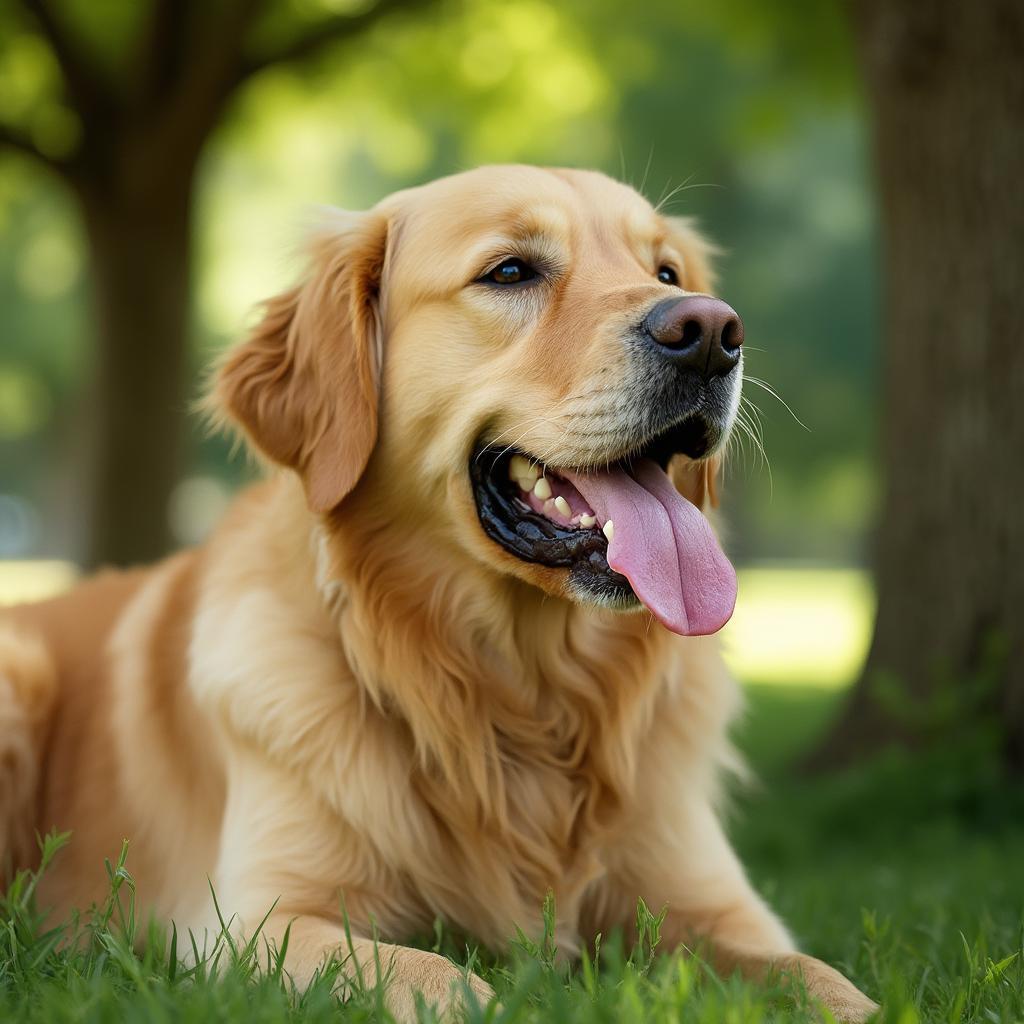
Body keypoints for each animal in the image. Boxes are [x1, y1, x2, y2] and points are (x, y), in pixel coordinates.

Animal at [2, 163, 880, 1019]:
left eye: (665, 272)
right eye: (511, 271)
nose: (712, 333)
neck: (520, 699)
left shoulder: (714, 909)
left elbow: (822, 980)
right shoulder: (252, 926)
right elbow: (441, 979)